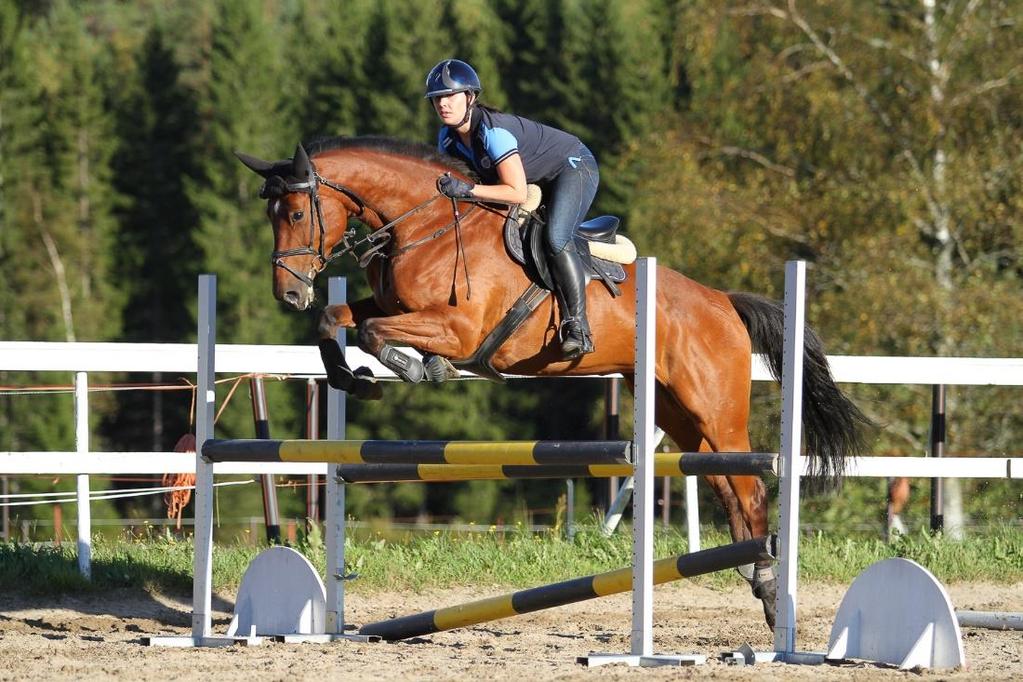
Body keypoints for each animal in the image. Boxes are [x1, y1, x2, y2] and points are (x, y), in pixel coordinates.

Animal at [237, 134, 871, 629]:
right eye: (270, 217)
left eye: (297, 214)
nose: (287, 293)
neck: (426, 224)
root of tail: (722, 302)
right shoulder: (392, 307)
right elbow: (338, 319)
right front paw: (355, 378)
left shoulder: (459, 330)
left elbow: (374, 333)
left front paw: (414, 367)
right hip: (677, 413)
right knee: (723, 481)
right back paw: (750, 572)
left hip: (714, 406)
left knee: (751, 485)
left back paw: (768, 587)